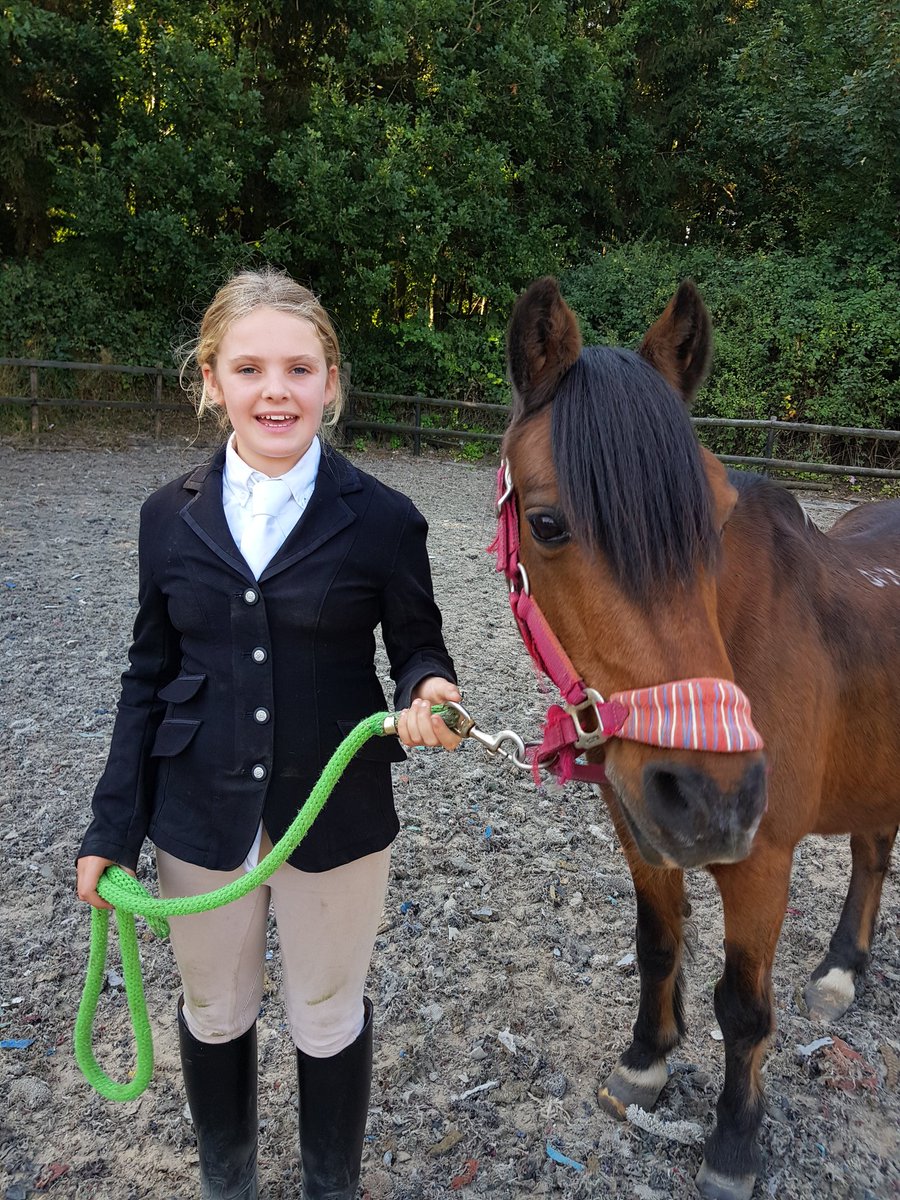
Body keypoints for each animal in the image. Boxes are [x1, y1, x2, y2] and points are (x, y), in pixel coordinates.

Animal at [501, 276, 900, 1200]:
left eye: (713, 520)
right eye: (547, 524)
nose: (714, 794)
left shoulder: (762, 859)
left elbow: (744, 1009)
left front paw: (734, 1143)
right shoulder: (640, 827)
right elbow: (657, 946)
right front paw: (645, 1061)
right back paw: (843, 969)